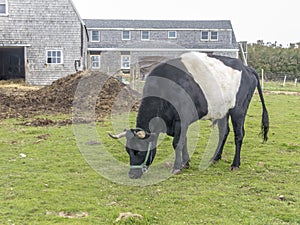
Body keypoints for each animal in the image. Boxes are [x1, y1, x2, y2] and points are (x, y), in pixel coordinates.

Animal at [109, 51, 268, 178]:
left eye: (139, 151)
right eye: (128, 150)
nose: (132, 175)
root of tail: (246, 68)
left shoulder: (181, 120)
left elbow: (177, 143)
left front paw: (177, 167)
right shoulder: (179, 123)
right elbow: (183, 140)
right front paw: (185, 163)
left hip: (239, 110)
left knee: (239, 135)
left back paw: (235, 164)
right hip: (223, 111)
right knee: (224, 132)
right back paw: (215, 158)